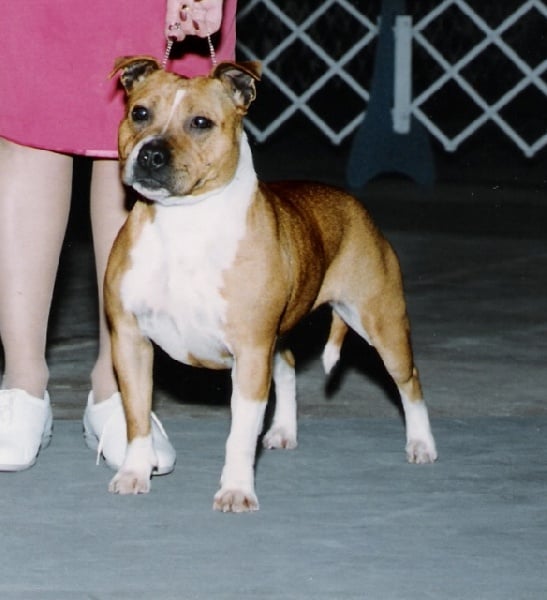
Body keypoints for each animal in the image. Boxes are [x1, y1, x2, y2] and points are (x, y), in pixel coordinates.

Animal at [104, 56, 437, 512]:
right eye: (139, 113)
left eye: (200, 122)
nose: (151, 153)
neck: (185, 224)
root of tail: (353, 203)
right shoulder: (131, 340)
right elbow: (136, 416)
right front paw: (134, 473)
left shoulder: (250, 350)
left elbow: (240, 436)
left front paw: (236, 490)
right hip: (280, 337)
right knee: (290, 365)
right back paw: (283, 431)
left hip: (381, 324)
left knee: (410, 380)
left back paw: (422, 444)